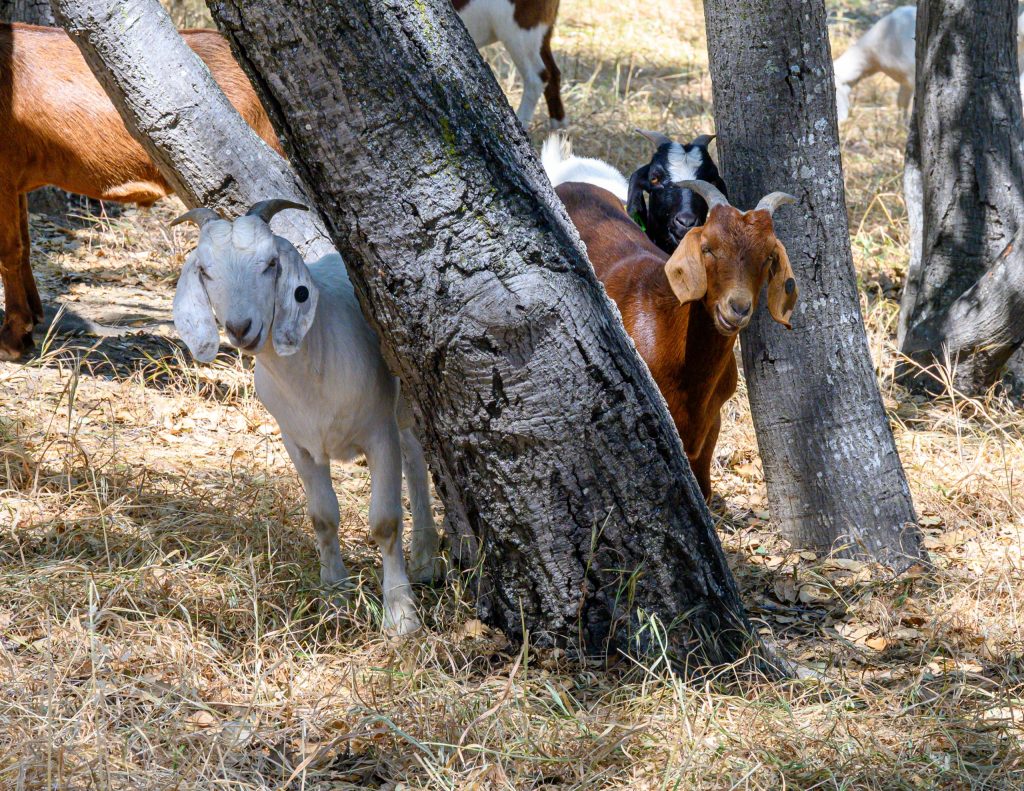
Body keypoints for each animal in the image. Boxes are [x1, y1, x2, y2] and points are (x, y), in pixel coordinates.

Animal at [0, 22, 283, 361]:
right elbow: (25, 247)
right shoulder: (18, 181)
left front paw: (13, 338)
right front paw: (31, 323)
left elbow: (9, 251)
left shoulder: (3, 173)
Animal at [172, 201, 442, 636]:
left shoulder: (379, 433)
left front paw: (401, 615)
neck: (313, 360)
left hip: (401, 408)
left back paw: (425, 561)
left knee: (416, 463)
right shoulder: (297, 443)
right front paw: (335, 594)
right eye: (206, 271)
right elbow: (323, 517)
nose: (240, 328)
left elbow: (385, 522)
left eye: (270, 264)